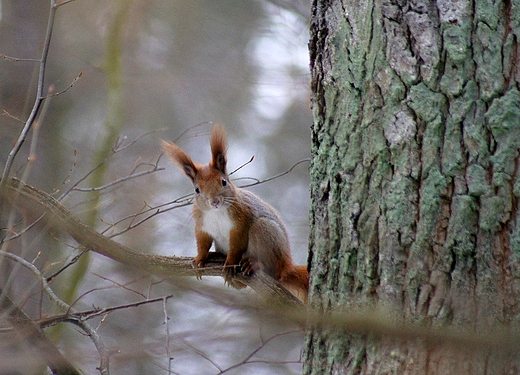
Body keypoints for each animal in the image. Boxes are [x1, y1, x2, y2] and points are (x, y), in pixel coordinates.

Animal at [162, 126, 306, 302]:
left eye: (223, 181)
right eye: (197, 190)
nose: (214, 201)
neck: (216, 212)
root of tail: (287, 266)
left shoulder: (241, 220)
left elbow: (236, 245)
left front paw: (230, 263)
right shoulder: (201, 225)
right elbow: (202, 242)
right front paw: (199, 259)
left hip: (266, 232)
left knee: (273, 271)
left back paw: (254, 264)